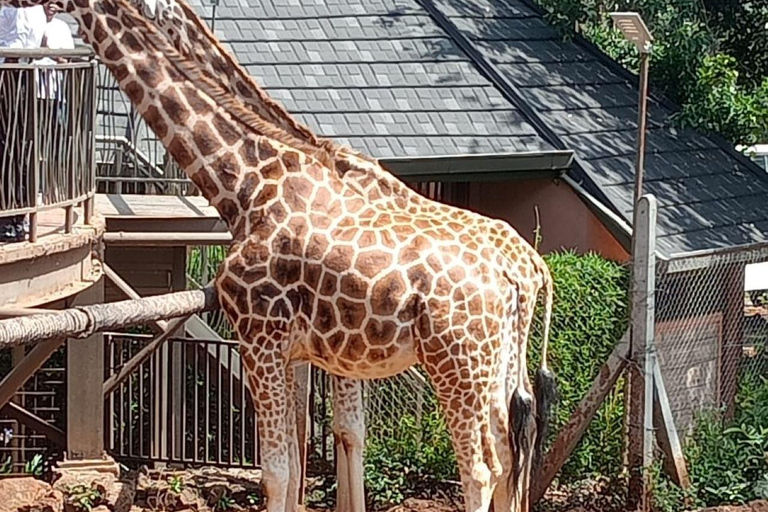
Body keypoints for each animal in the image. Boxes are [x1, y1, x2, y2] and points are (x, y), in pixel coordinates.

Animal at [0, 0, 556, 510]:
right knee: (510, 452)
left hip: (457, 362)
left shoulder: (260, 336)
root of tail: (527, 271)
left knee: (481, 468)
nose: (27, 6)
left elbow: (282, 466)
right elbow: (320, 444)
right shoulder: (302, 349)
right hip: (497, 362)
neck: (246, 185)